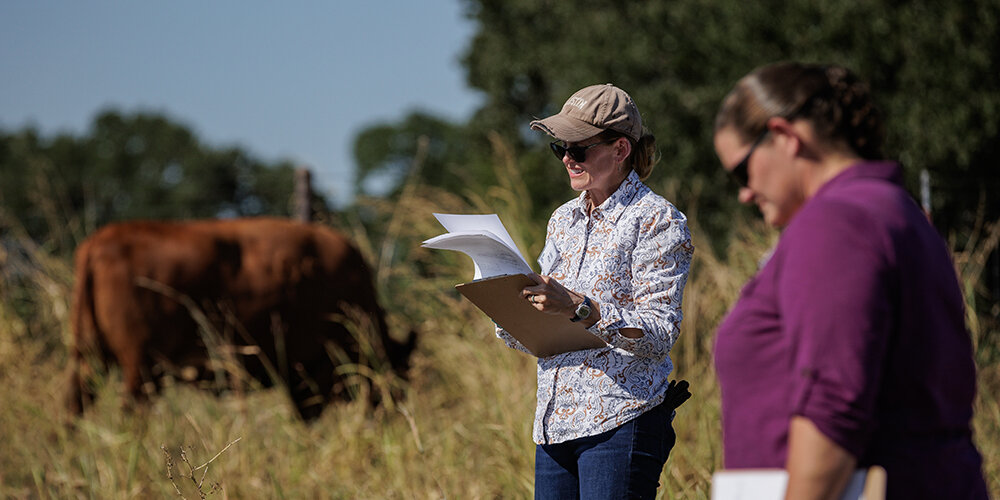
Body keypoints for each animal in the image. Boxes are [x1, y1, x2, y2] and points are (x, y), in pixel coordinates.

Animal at [66, 219, 416, 422]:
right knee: (131, 412)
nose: (397, 414)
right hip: (140, 368)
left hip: (89, 359)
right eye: (403, 375)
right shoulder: (307, 373)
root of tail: (101, 241)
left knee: (75, 407)